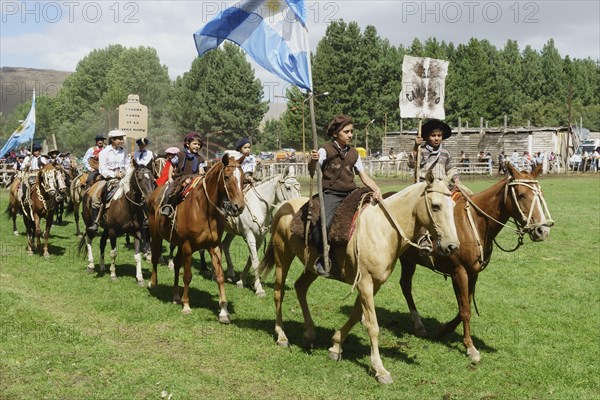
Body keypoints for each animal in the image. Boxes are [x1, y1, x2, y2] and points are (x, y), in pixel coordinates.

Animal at [146, 155, 245, 324]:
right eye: (226, 177)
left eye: (244, 178)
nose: (239, 206)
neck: (205, 210)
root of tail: (154, 194)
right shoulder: (188, 246)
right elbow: (187, 276)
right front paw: (186, 305)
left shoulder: (214, 246)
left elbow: (220, 276)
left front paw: (223, 311)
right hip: (156, 235)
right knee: (155, 258)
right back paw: (153, 284)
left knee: (176, 264)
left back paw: (175, 296)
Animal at [224, 164, 302, 296]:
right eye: (287, 188)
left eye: (299, 187)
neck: (259, 206)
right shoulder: (250, 235)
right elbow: (255, 260)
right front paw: (259, 289)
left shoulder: (260, 237)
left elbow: (251, 259)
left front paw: (241, 280)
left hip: (231, 231)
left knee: (224, 245)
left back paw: (230, 274)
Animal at [398, 160, 552, 362]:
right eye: (521, 195)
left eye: (540, 194)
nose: (542, 231)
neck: (474, 224)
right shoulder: (459, 272)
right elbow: (465, 309)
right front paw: (470, 347)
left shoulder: (472, 273)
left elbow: (465, 305)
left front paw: (443, 329)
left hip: (407, 261)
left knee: (405, 285)